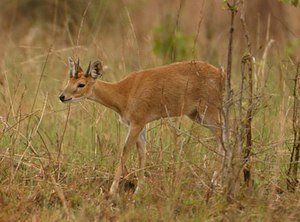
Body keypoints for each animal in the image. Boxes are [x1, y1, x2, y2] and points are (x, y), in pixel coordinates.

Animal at [59, 57, 223, 198]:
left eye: (81, 84)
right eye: (69, 80)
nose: (62, 96)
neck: (123, 93)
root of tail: (220, 73)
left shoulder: (136, 123)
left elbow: (125, 152)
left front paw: (112, 191)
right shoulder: (142, 124)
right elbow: (142, 153)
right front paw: (139, 189)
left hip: (209, 112)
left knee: (222, 139)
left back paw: (214, 181)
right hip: (196, 115)